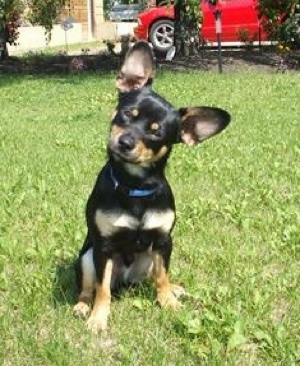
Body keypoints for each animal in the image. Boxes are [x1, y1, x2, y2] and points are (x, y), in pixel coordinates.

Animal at [74, 40, 231, 332]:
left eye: (156, 133)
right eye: (127, 114)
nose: (125, 142)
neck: (135, 185)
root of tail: (125, 280)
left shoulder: (162, 241)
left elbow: (162, 278)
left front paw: (168, 303)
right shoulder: (103, 248)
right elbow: (102, 290)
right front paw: (99, 318)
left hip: (148, 259)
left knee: (155, 276)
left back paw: (175, 289)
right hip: (88, 256)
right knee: (91, 287)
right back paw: (81, 306)